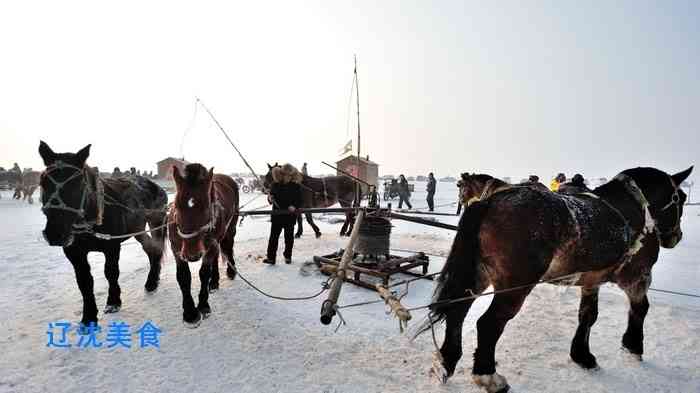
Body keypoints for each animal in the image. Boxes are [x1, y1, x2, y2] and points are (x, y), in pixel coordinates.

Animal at [37, 141, 169, 328]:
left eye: (78, 184)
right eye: (43, 181)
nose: (55, 233)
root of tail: (155, 186)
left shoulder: (112, 246)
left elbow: (111, 273)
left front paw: (113, 302)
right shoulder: (74, 252)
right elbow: (84, 281)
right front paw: (89, 316)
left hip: (156, 222)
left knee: (156, 248)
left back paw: (151, 282)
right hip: (137, 229)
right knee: (151, 250)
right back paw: (152, 282)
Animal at [168, 162, 239, 328]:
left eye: (206, 207)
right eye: (177, 205)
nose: (192, 254)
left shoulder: (210, 246)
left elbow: (204, 273)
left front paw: (203, 305)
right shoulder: (176, 249)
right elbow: (183, 277)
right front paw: (190, 312)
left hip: (229, 229)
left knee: (228, 247)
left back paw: (229, 272)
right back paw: (214, 282)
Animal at [412, 166, 692, 392]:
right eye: (681, 198)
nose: (676, 237)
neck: (636, 209)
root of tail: (490, 202)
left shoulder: (591, 281)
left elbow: (587, 316)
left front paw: (582, 355)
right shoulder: (637, 278)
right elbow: (640, 309)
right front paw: (633, 346)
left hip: (479, 274)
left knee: (457, 311)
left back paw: (446, 361)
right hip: (515, 286)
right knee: (488, 324)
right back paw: (488, 376)